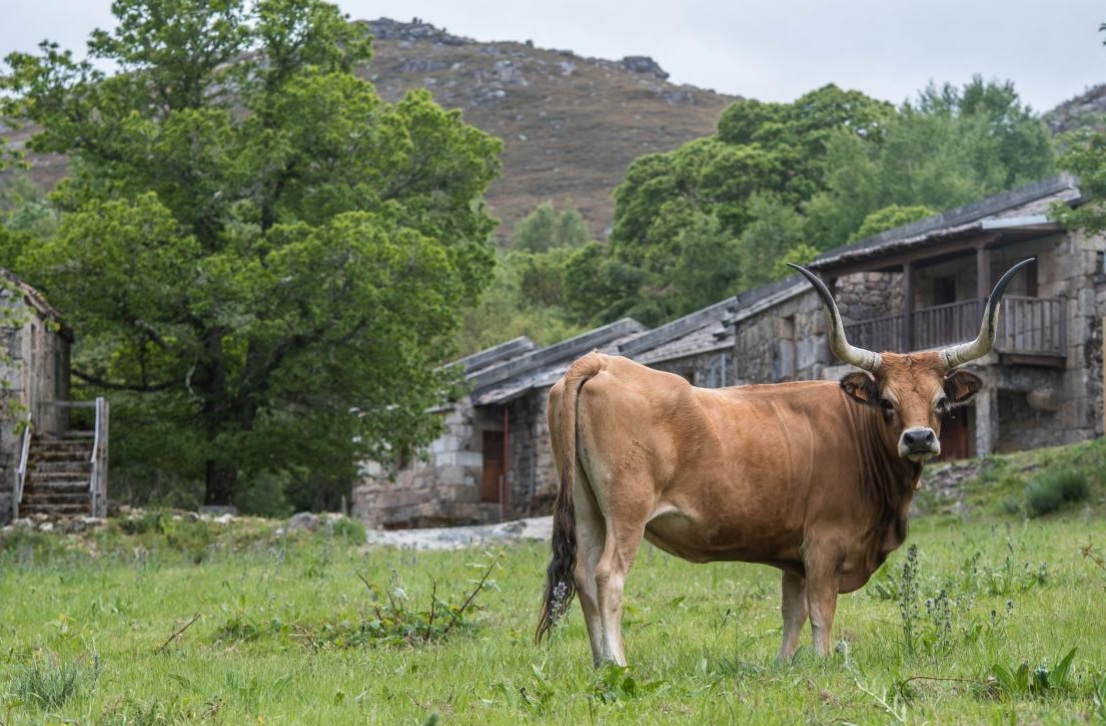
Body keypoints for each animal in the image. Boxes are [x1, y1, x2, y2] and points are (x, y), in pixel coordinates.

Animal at [536, 259, 1032, 667]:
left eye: (941, 401)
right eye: (887, 401)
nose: (919, 438)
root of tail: (601, 363)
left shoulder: (794, 558)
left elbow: (792, 615)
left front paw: (785, 666)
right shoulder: (824, 546)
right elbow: (821, 612)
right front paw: (823, 662)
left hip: (588, 509)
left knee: (581, 577)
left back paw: (599, 663)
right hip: (627, 510)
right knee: (607, 577)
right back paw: (617, 663)